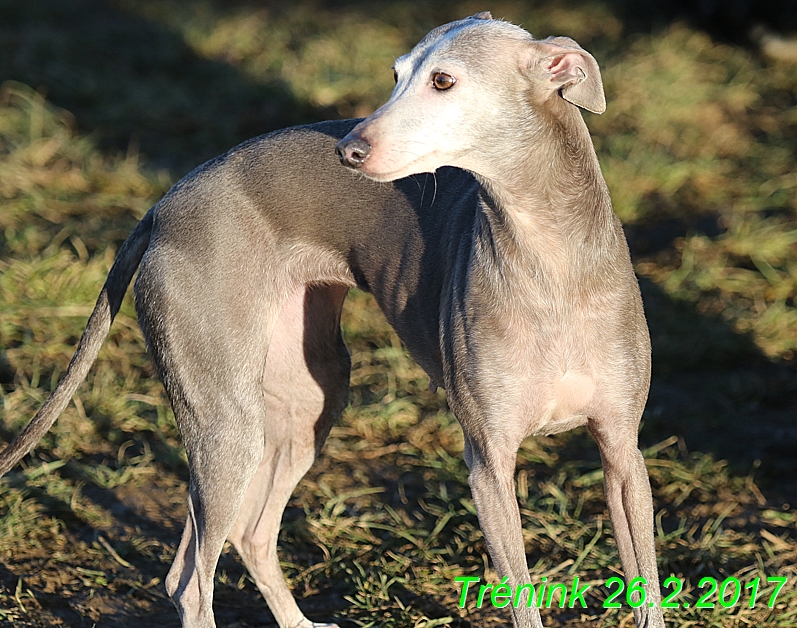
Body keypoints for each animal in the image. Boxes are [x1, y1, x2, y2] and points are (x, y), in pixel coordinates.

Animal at [0, 11, 664, 628]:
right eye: (396, 75)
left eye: (443, 80)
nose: (348, 150)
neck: (551, 263)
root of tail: (165, 205)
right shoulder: (489, 461)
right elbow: (521, 597)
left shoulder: (622, 452)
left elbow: (648, 587)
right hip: (226, 422)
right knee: (190, 580)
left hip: (305, 403)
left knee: (248, 536)